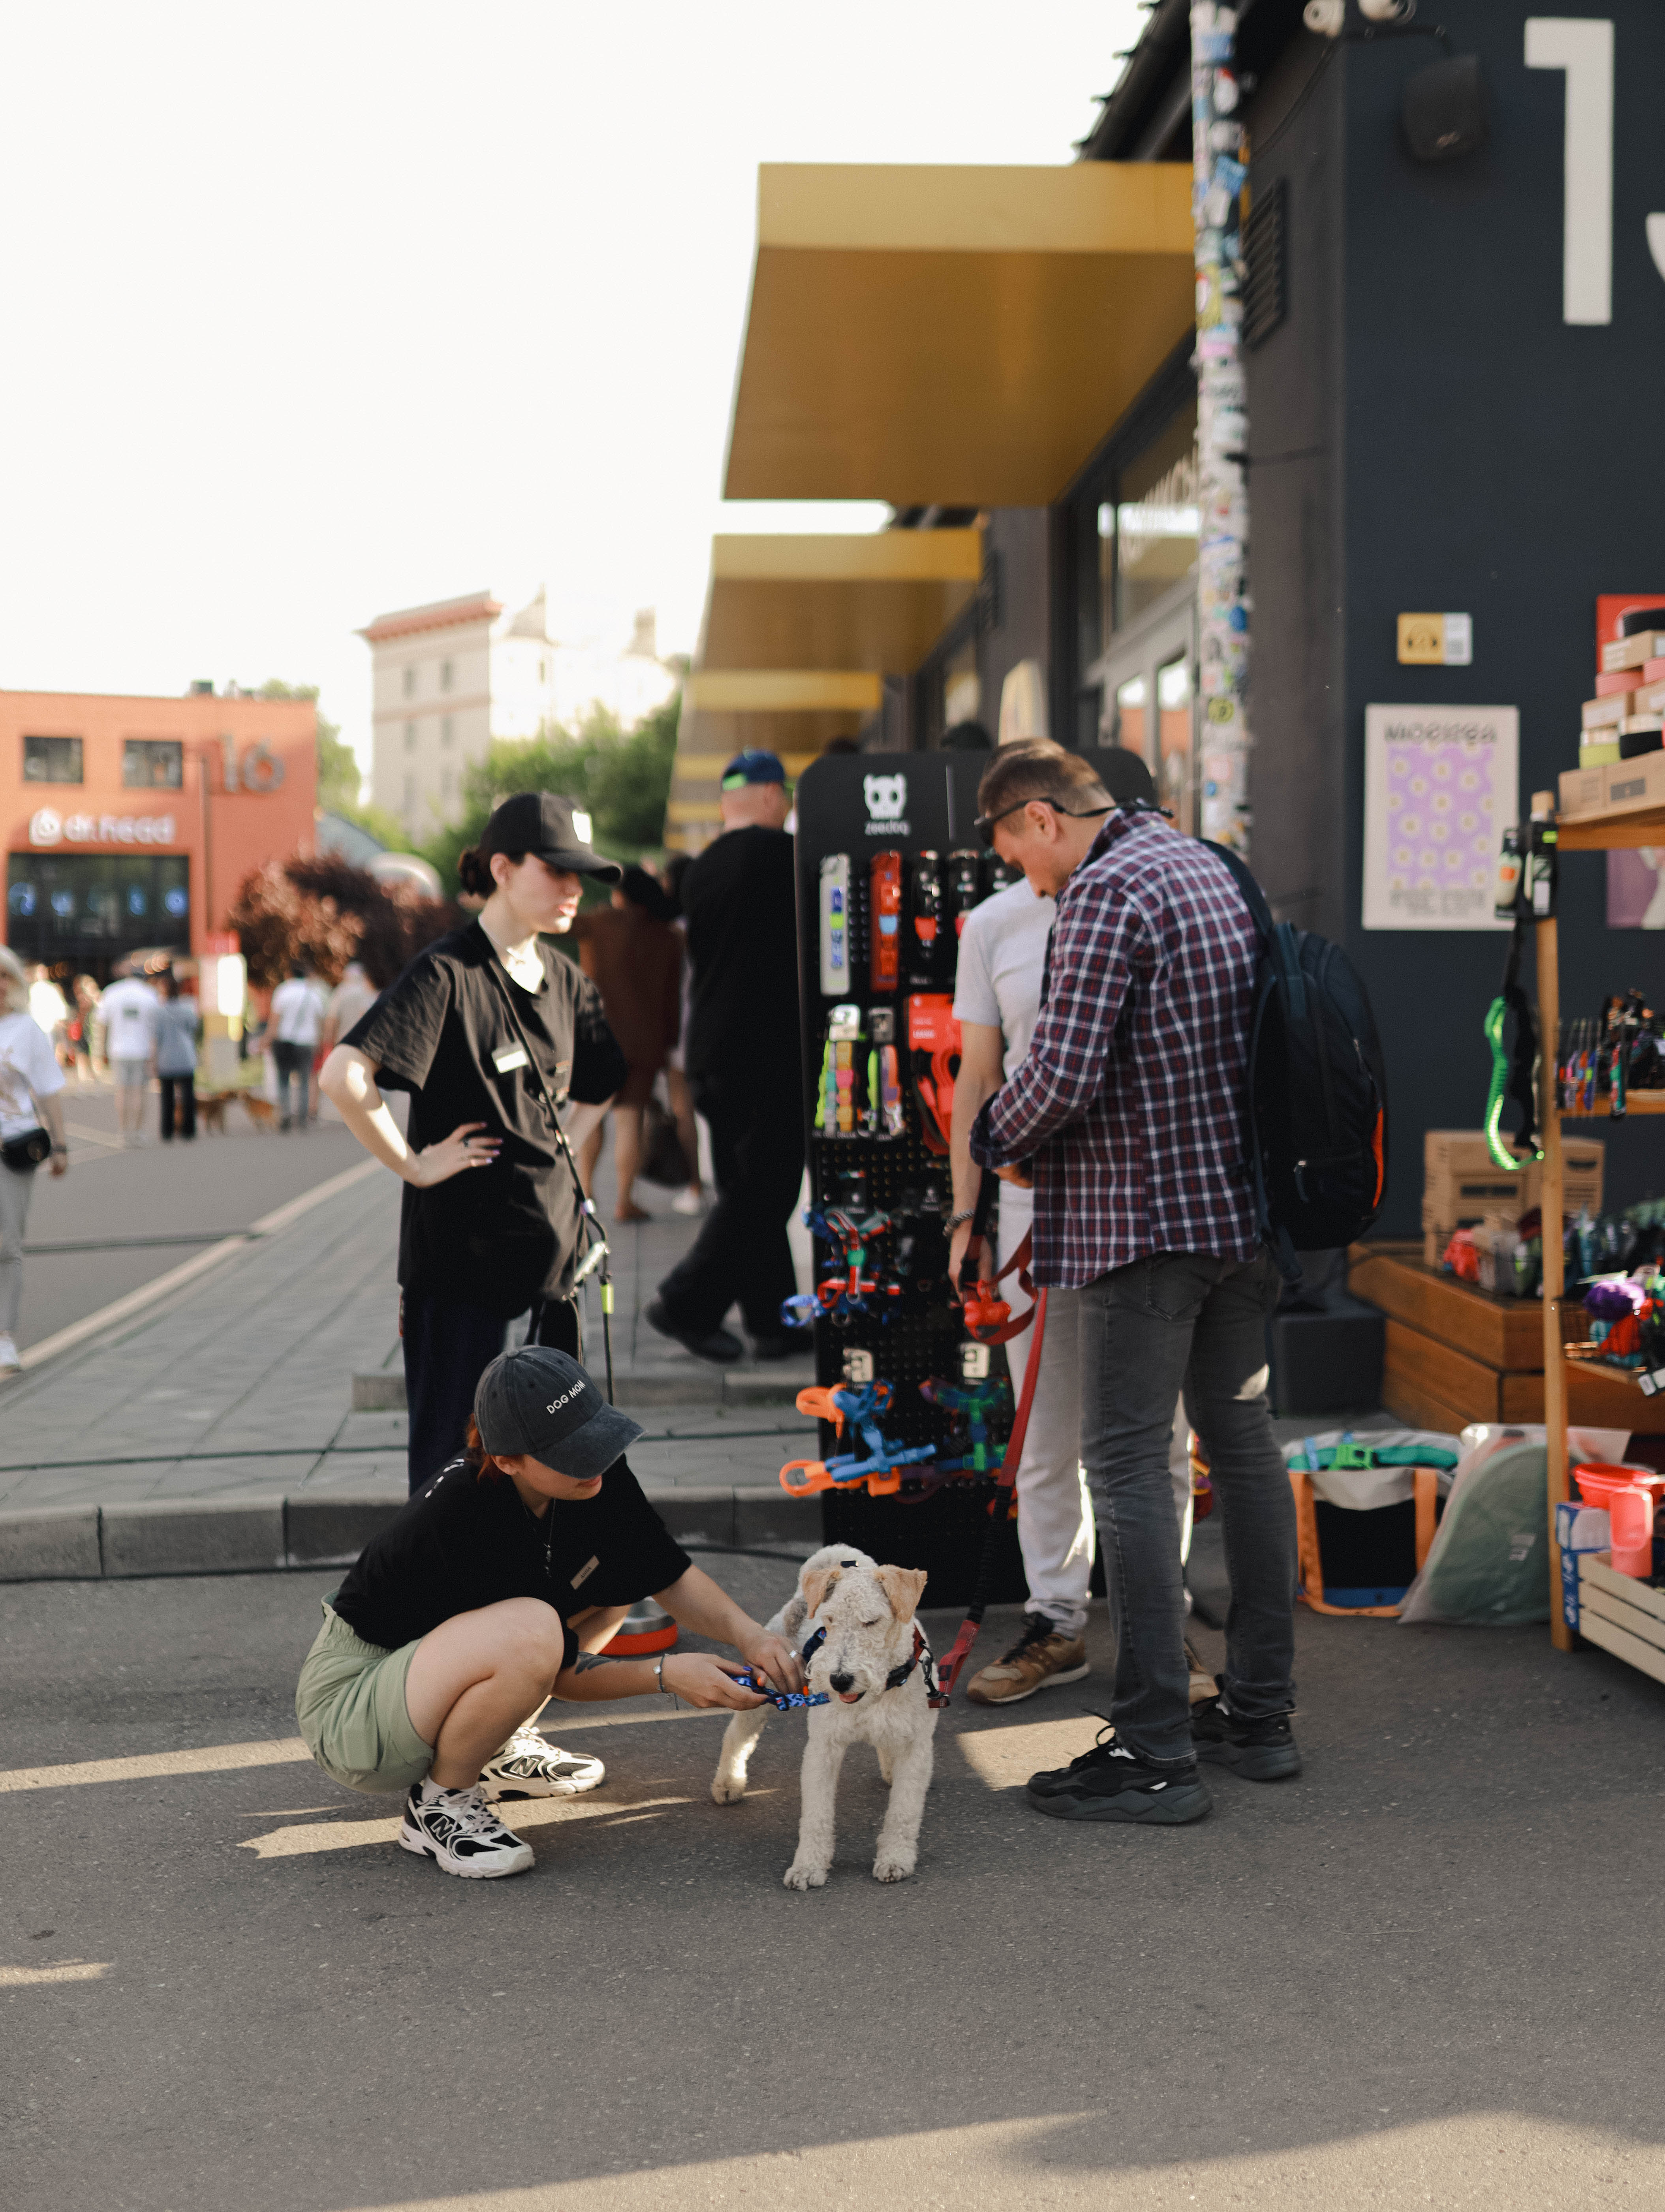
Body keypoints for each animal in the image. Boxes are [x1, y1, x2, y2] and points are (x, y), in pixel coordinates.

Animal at [703, 1557, 937, 1885]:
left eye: (872, 1622)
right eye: (829, 1620)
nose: (839, 1680)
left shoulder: (916, 1747)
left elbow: (903, 1812)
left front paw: (894, 1859)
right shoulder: (823, 1748)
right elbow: (816, 1815)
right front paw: (807, 1867)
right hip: (763, 1688)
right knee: (738, 1735)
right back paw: (728, 1783)